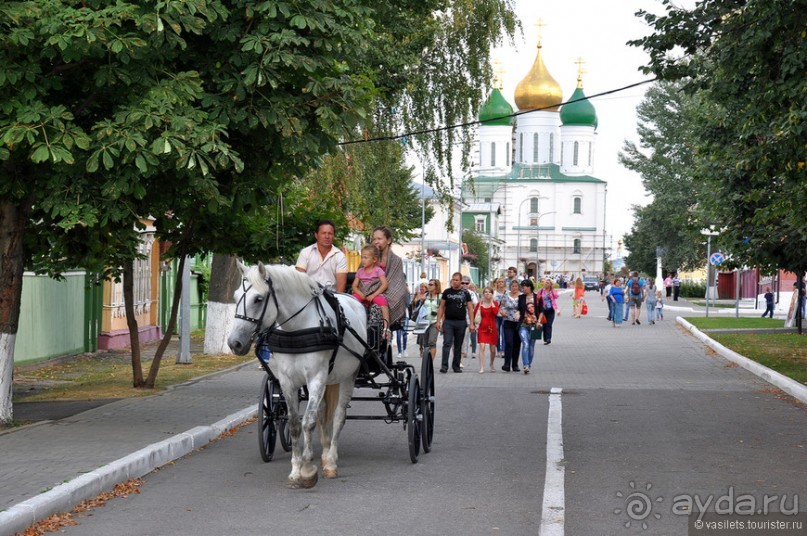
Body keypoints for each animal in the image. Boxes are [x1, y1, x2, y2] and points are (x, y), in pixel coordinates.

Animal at [226, 262, 368, 488]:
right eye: (236, 295)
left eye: (258, 299)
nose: (234, 343)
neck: (297, 328)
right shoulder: (287, 382)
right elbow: (294, 424)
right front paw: (295, 470)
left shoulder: (316, 378)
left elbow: (308, 422)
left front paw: (308, 469)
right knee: (323, 414)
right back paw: (325, 453)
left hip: (348, 376)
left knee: (338, 417)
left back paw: (330, 461)